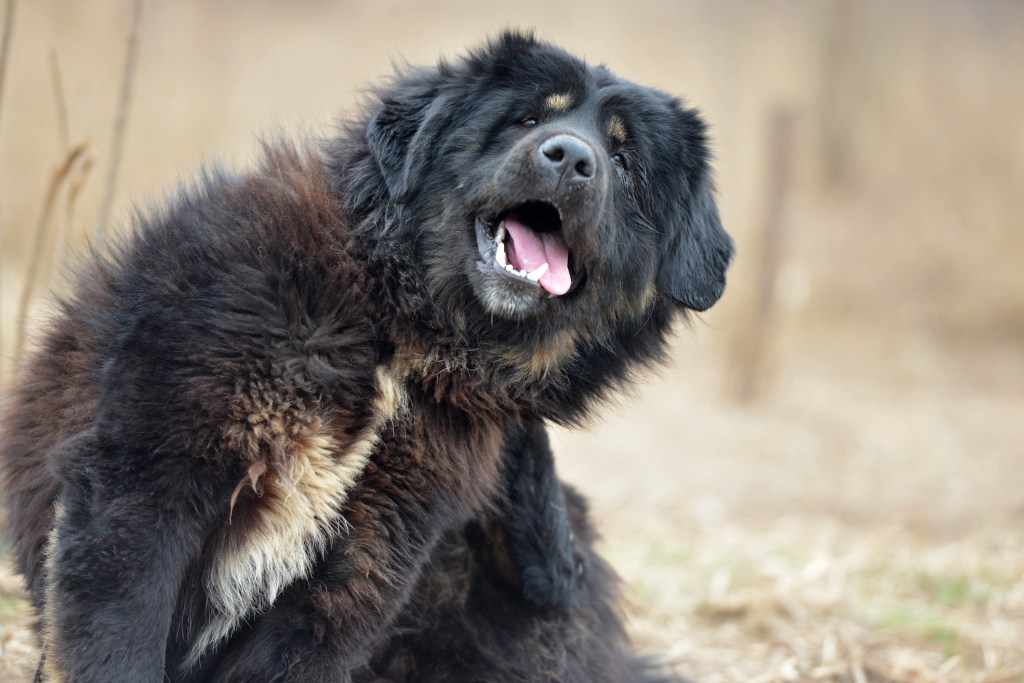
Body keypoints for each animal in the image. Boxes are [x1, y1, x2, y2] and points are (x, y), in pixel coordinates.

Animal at [4, 31, 733, 683]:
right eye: (527, 119)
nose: (571, 159)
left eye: (624, 161)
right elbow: (118, 642)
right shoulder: (149, 483)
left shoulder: (361, 564)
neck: (405, 336)